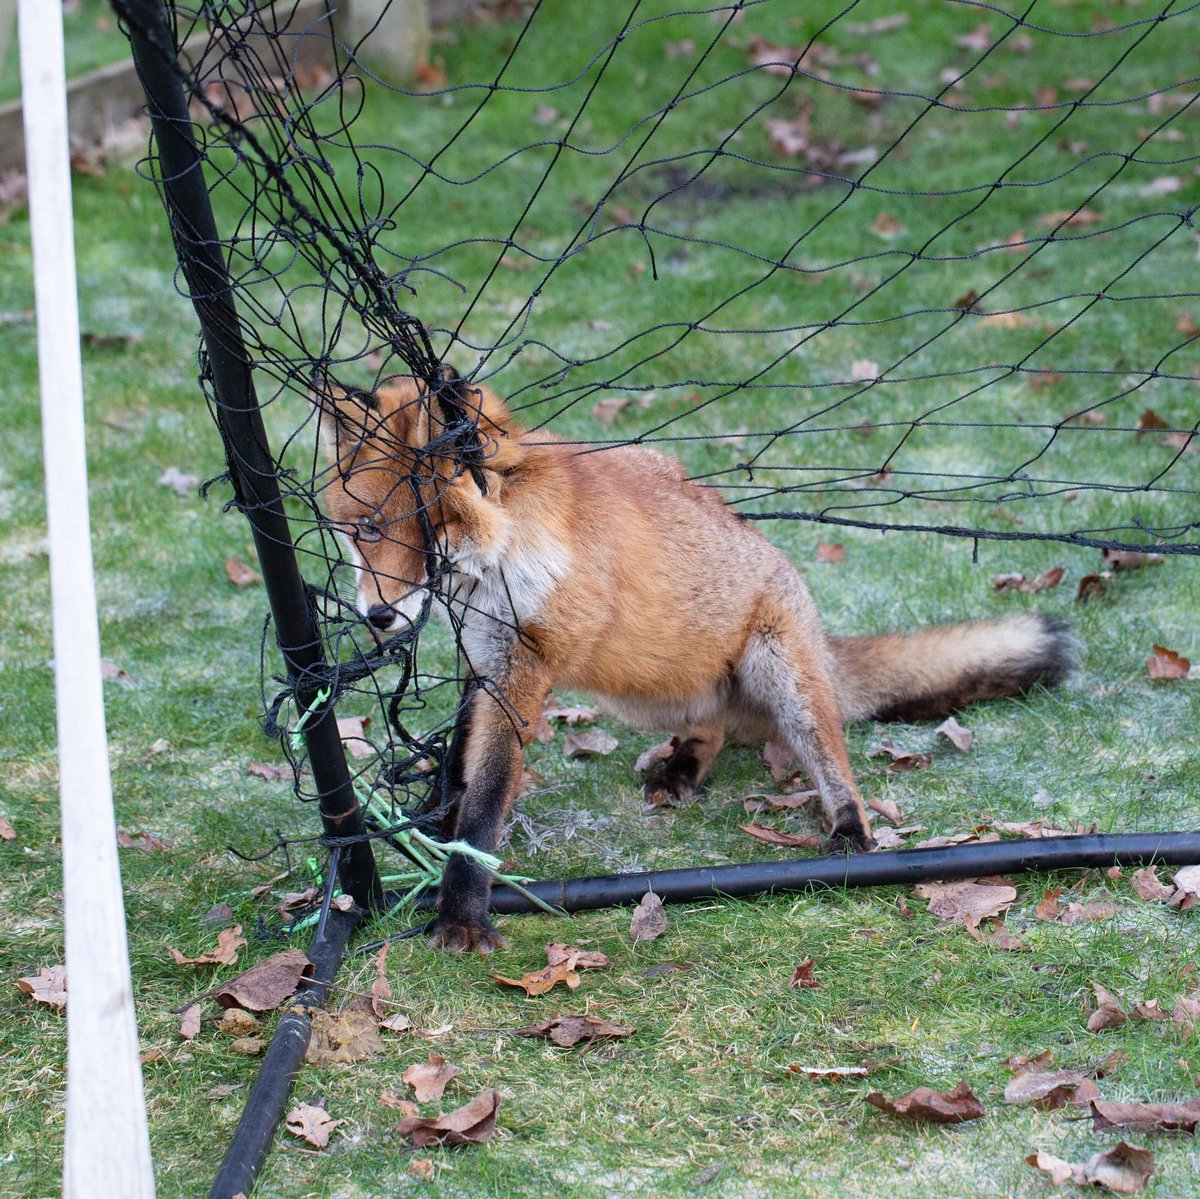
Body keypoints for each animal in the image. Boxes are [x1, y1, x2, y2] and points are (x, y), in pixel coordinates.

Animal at [316, 369, 1070, 950]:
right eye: (364, 528)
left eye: (426, 527)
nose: (379, 617)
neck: (496, 562)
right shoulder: (484, 659)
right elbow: (458, 770)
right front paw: (436, 835)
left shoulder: (524, 668)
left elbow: (486, 799)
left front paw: (462, 910)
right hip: (649, 687)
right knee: (709, 725)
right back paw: (682, 766)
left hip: (782, 675)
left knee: (836, 767)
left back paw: (850, 833)